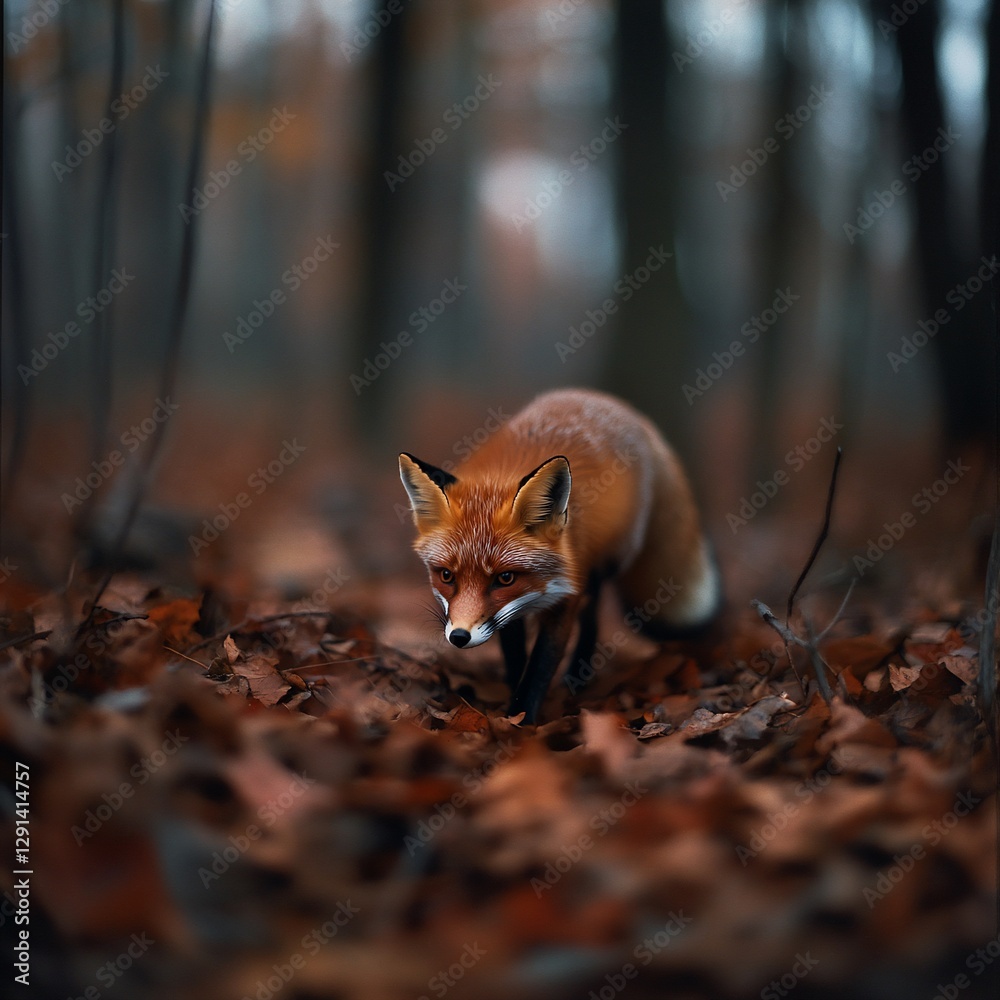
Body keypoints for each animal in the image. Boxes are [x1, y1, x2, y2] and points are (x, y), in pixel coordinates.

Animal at [398, 388, 721, 723]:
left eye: (505, 578)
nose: (460, 637)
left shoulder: (566, 597)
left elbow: (540, 667)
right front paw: (514, 698)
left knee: (592, 616)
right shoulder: (506, 615)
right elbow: (515, 656)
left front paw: (522, 717)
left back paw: (577, 676)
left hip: (601, 567)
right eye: (446, 575)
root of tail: (619, 407)